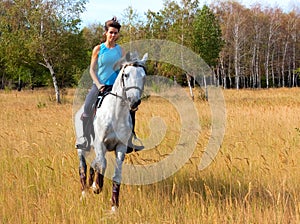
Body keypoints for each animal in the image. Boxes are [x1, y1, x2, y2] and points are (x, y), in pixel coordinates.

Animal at [75, 52, 148, 210]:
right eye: (126, 74)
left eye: (144, 76)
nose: (134, 101)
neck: (116, 113)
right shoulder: (100, 143)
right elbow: (102, 164)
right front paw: (96, 187)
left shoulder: (121, 147)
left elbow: (116, 176)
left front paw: (114, 207)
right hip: (82, 147)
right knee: (83, 167)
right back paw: (84, 194)